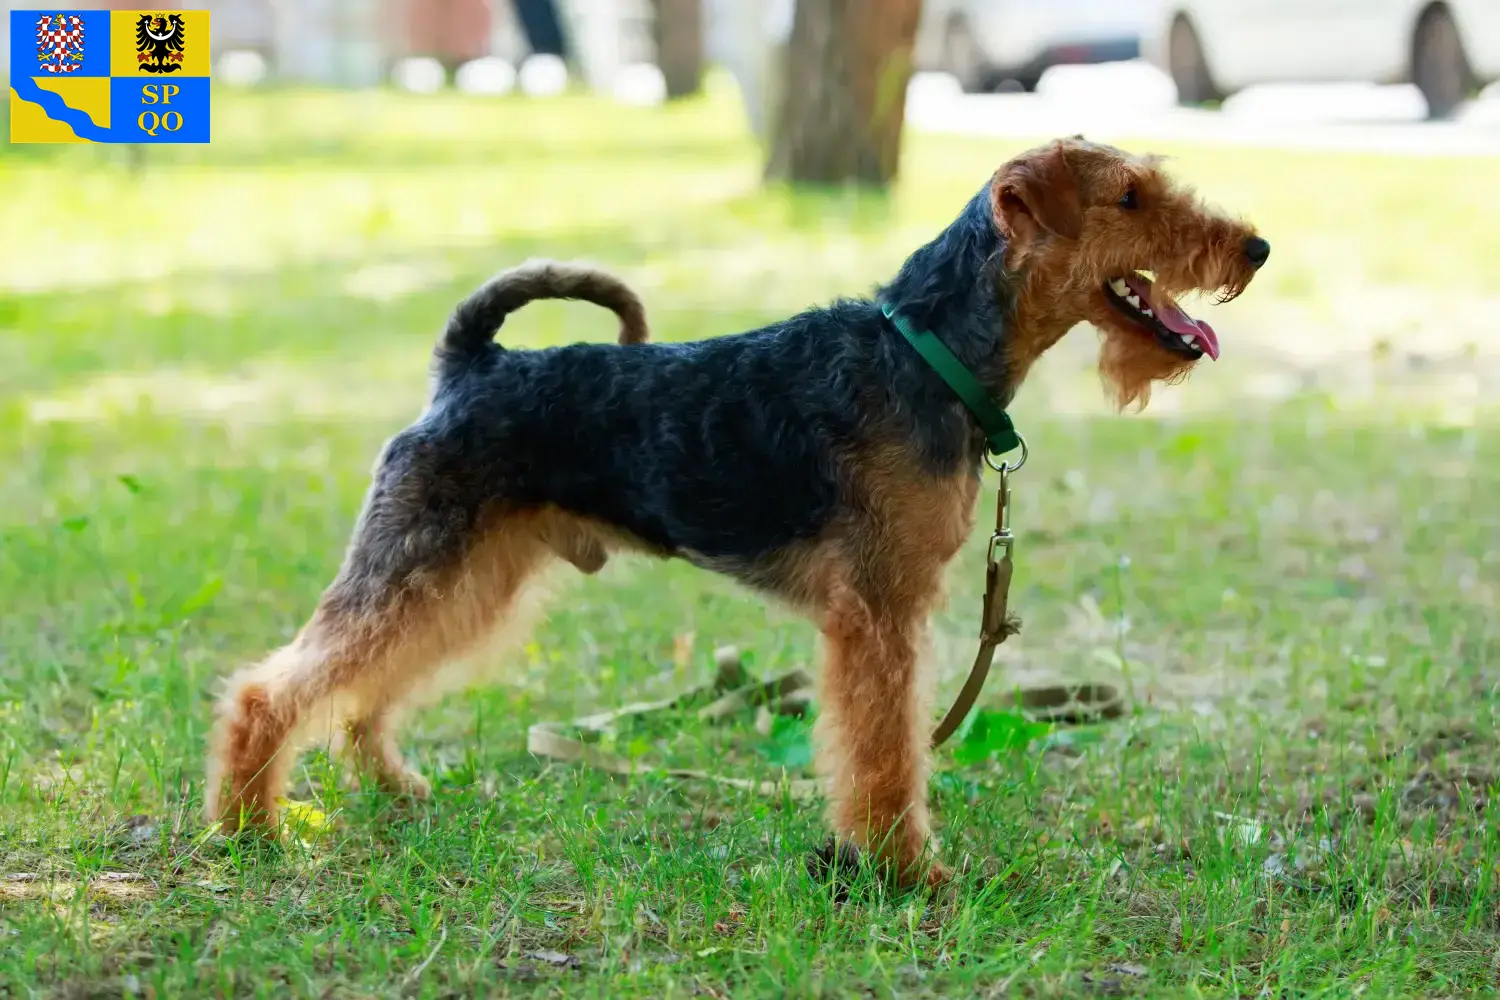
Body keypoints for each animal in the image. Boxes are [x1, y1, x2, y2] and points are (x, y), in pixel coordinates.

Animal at [208, 137, 1266, 887]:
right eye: (1128, 197)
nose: (1253, 248)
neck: (929, 353)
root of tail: (472, 363)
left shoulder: (891, 609)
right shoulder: (878, 612)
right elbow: (886, 754)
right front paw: (906, 871)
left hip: (469, 575)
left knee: (365, 688)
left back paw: (392, 785)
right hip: (421, 557)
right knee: (272, 689)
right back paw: (248, 826)